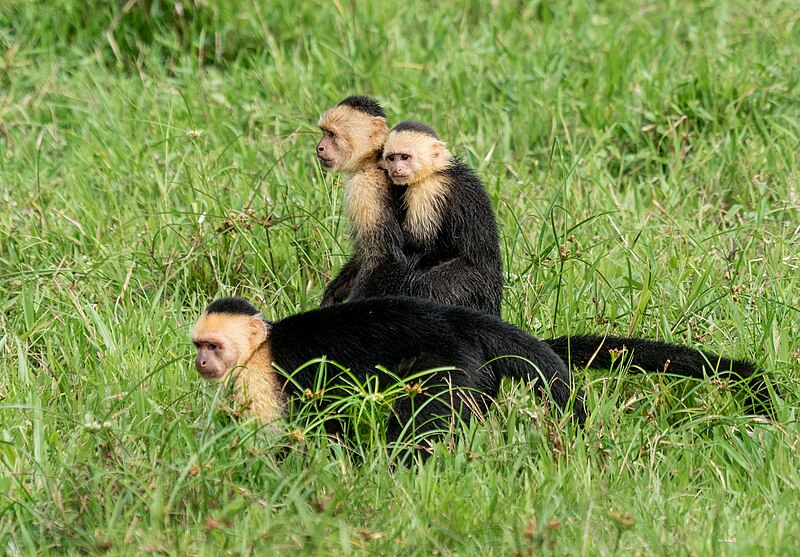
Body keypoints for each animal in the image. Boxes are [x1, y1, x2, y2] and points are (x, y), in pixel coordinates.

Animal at [191, 296, 587, 448]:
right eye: (198, 346)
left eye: (214, 346)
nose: (200, 362)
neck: (260, 347)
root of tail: (455, 321)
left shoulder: (258, 375)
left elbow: (273, 441)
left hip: (446, 362)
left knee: (418, 421)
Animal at [381, 121, 504, 316]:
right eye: (391, 158)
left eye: (405, 157)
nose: (395, 169)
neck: (437, 170)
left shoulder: (429, 189)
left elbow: (418, 242)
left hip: (469, 281)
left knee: (428, 286)